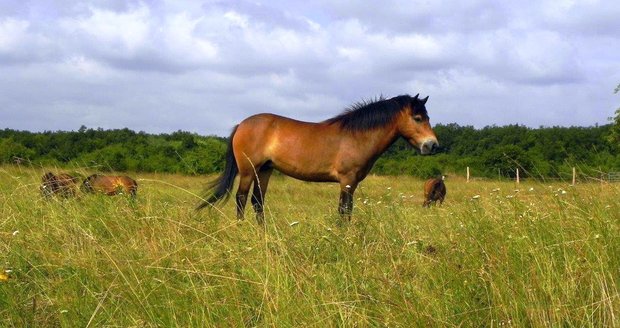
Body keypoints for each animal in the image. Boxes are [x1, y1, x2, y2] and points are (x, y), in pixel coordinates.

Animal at [196, 93, 438, 224]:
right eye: (418, 118)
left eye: (427, 117)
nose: (432, 145)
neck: (357, 135)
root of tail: (242, 124)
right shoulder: (347, 181)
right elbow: (344, 210)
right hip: (248, 171)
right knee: (241, 198)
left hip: (264, 170)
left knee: (257, 201)